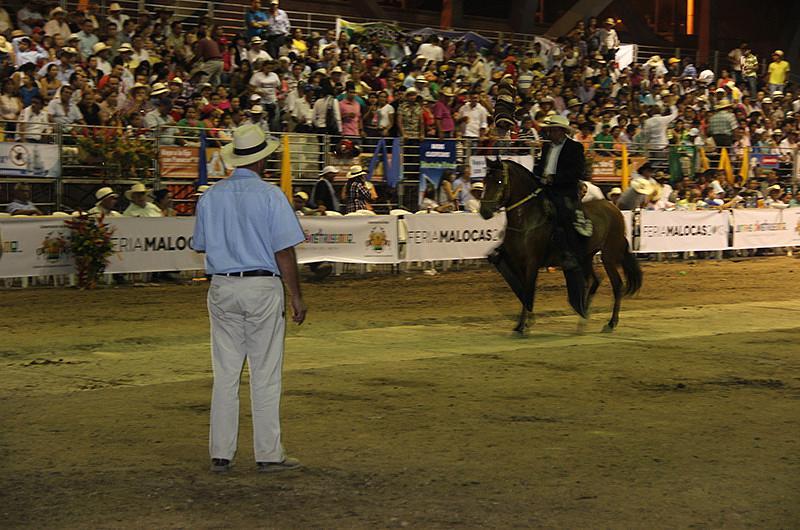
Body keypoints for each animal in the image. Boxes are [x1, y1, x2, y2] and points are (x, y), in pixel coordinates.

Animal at [478, 158, 640, 330]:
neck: (527, 220)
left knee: (617, 285)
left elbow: (528, 290)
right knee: (594, 281)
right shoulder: (517, 263)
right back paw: (583, 318)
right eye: (484, 181)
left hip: (608, 256)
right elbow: (523, 291)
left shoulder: (532, 263)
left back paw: (611, 322)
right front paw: (526, 322)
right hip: (586, 257)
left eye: (499, 181)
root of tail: (614, 208)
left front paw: (522, 326)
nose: (484, 211)